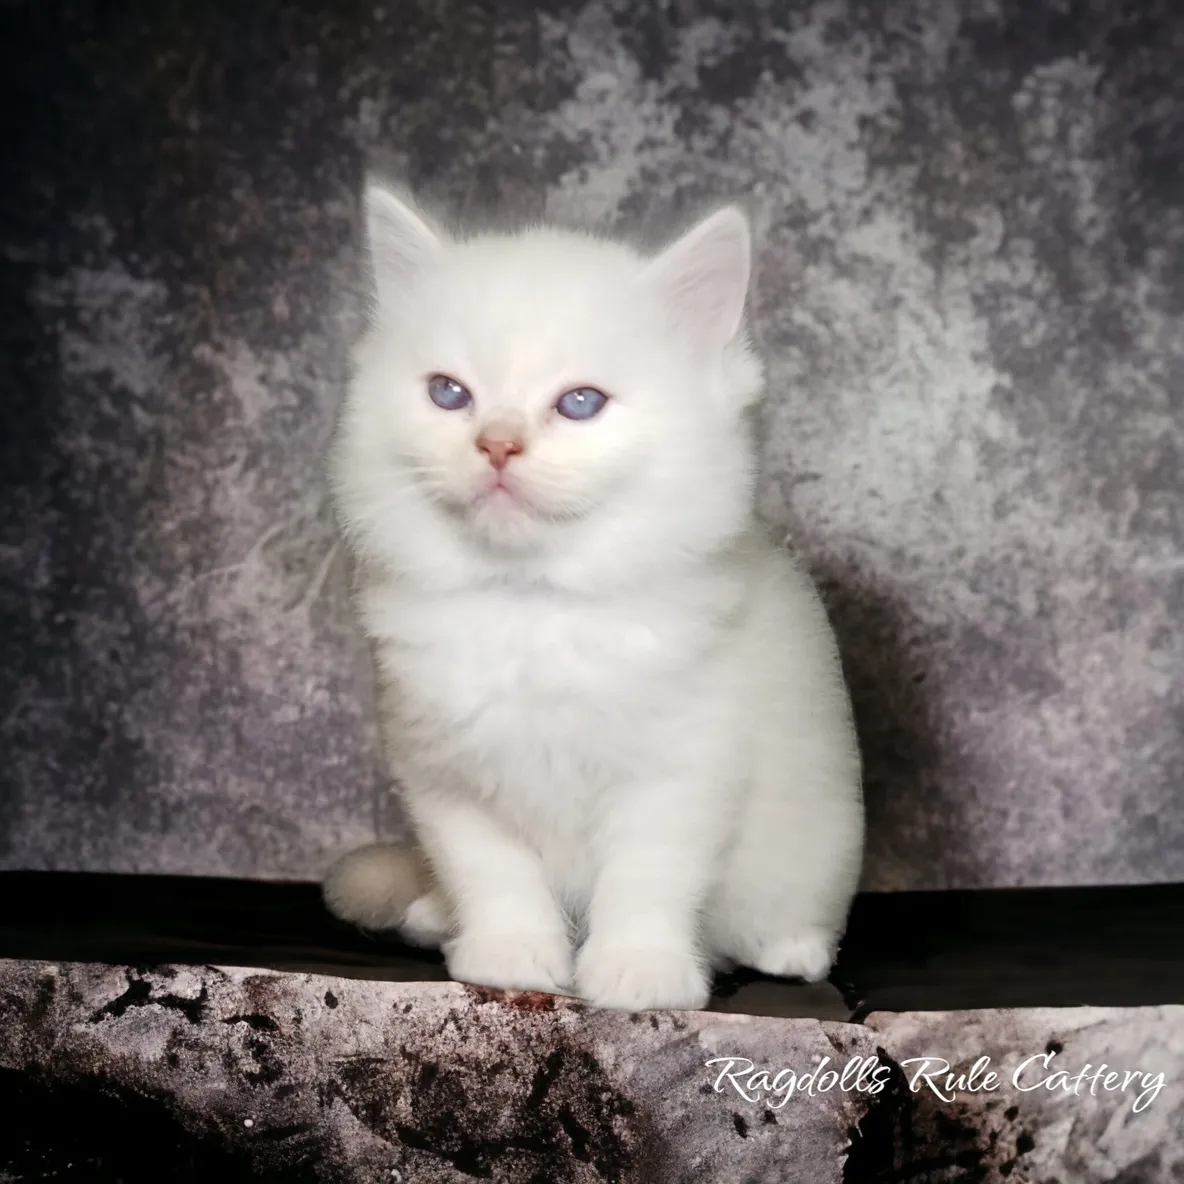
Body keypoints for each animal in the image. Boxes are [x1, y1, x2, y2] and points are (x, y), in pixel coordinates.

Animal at [322, 182, 861, 1008]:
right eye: (449, 394)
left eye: (579, 404)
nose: (497, 443)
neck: (532, 605)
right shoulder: (449, 780)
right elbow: (494, 875)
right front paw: (509, 956)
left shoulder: (680, 772)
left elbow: (645, 881)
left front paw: (639, 974)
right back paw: (433, 917)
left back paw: (787, 950)